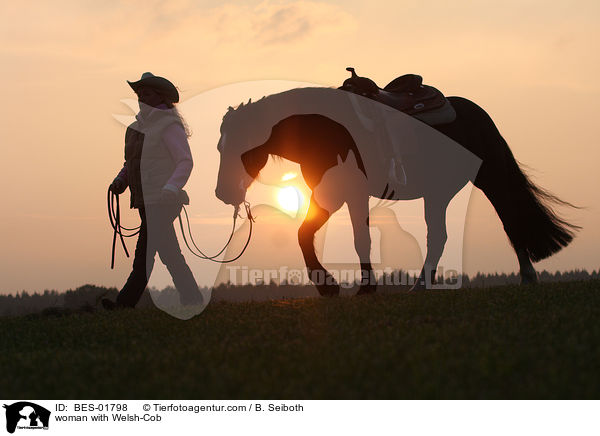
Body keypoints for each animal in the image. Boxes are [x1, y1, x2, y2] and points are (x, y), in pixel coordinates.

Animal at [213, 85, 580, 296]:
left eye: (240, 146)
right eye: (220, 146)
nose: (222, 193)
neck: (323, 127)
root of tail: (481, 116)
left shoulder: (346, 192)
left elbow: (353, 238)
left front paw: (351, 287)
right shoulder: (334, 194)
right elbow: (311, 234)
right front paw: (337, 286)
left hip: (485, 180)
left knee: (507, 219)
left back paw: (525, 276)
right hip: (439, 192)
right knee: (442, 235)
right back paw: (423, 284)